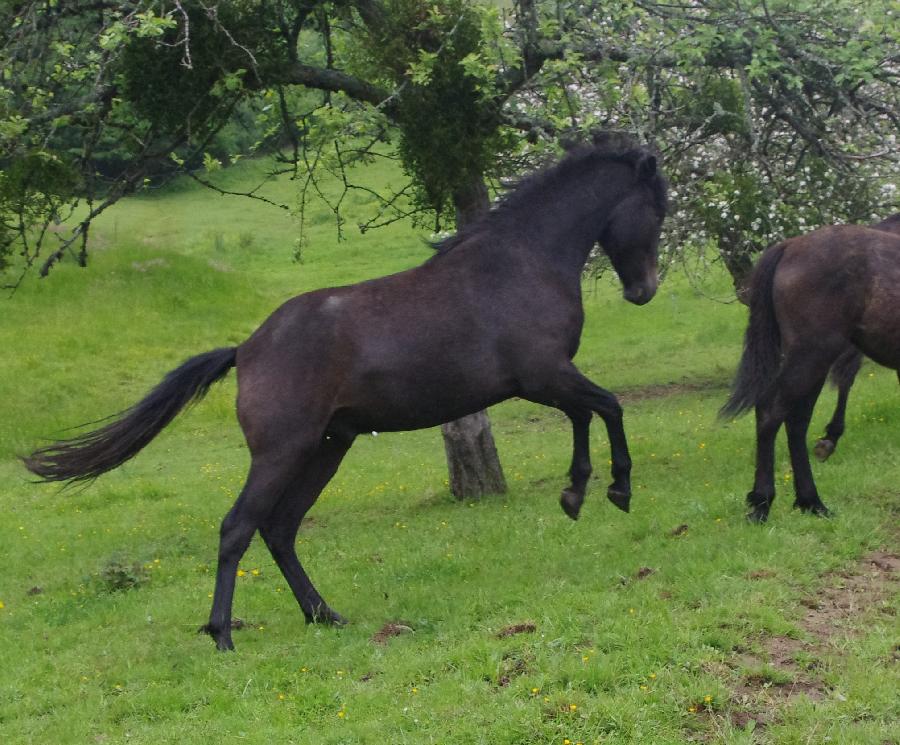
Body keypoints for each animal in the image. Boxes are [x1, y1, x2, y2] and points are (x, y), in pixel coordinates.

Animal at [22, 141, 668, 652]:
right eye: (658, 209)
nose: (644, 290)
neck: (521, 261)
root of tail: (246, 349)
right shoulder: (543, 376)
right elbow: (609, 406)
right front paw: (615, 489)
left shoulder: (547, 381)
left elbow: (588, 414)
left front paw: (576, 493)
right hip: (283, 452)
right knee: (239, 527)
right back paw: (223, 634)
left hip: (327, 447)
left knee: (280, 530)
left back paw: (323, 614)